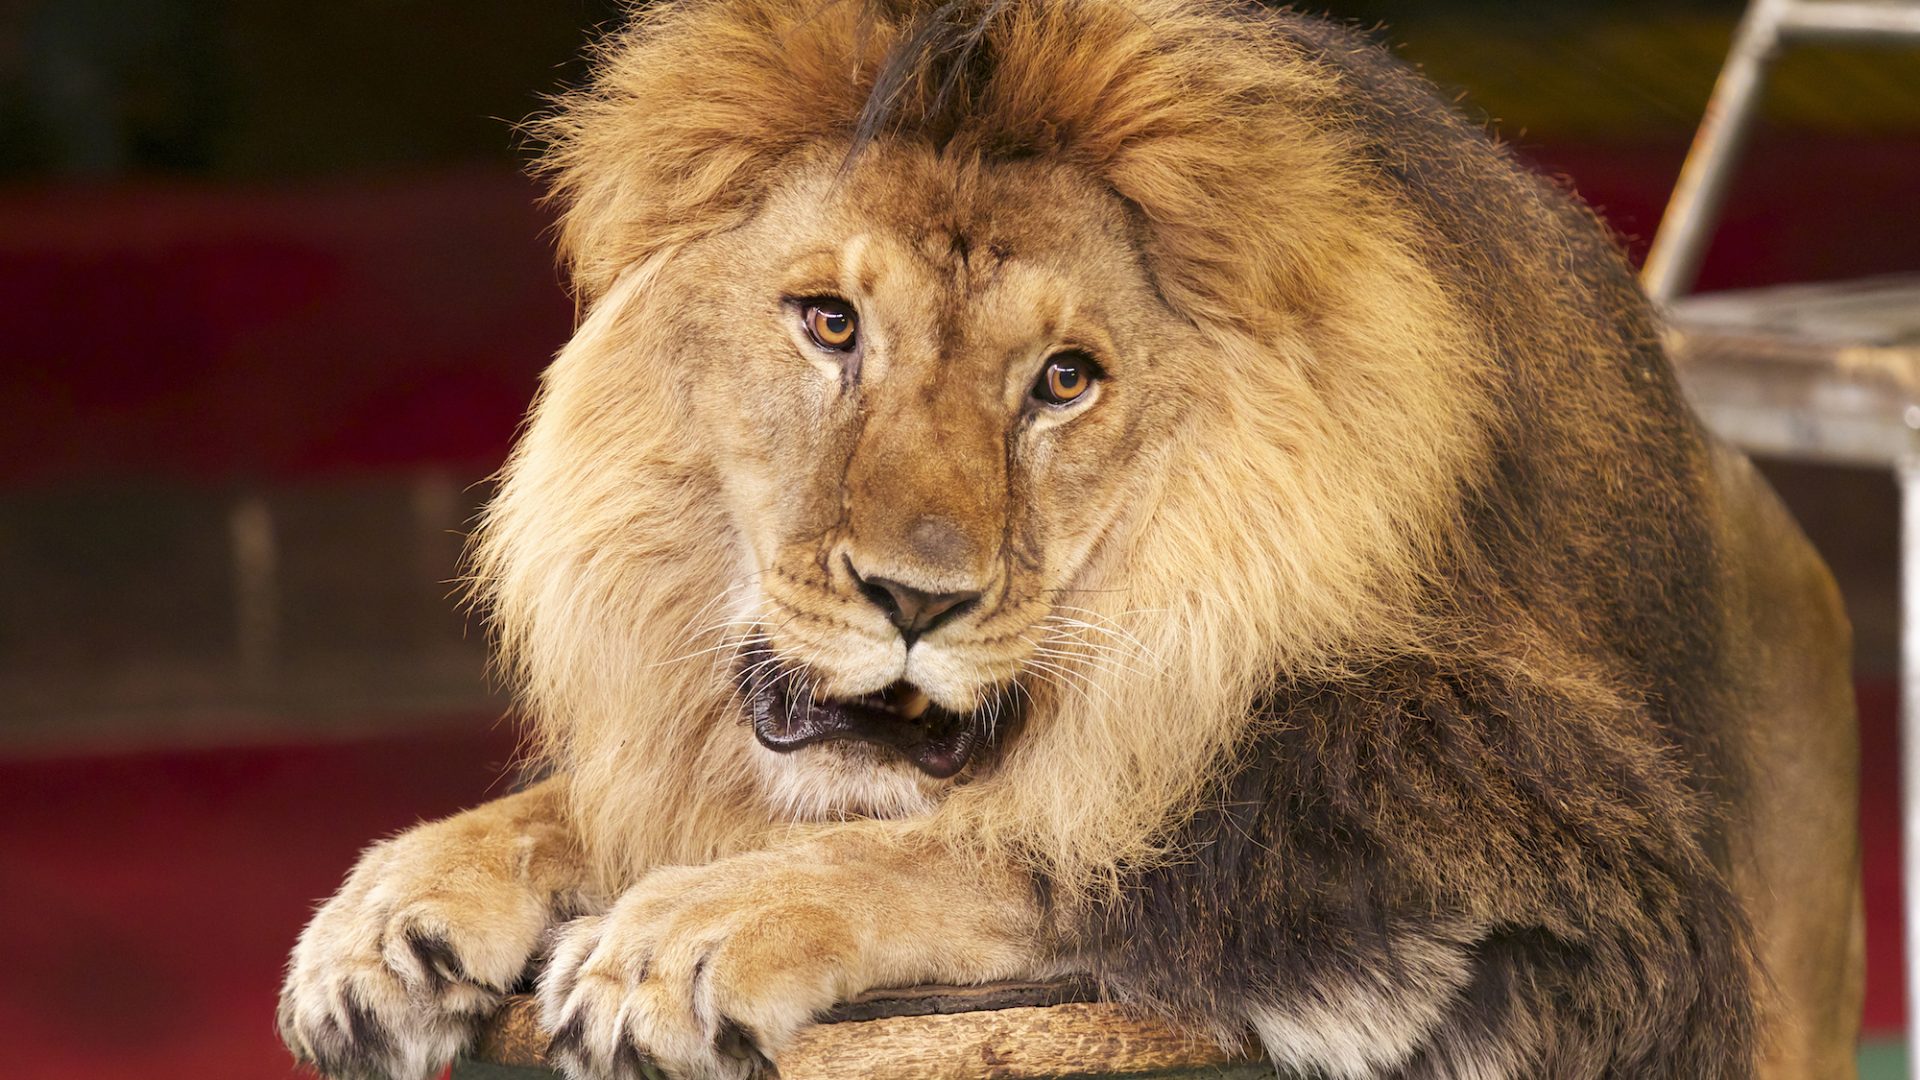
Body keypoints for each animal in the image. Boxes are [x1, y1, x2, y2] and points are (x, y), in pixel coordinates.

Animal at [270, 0, 1858, 1068]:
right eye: (829, 323)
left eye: (1064, 380)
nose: (915, 600)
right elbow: (603, 804)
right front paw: (399, 910)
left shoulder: (1520, 851)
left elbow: (1034, 844)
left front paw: (688, 935)